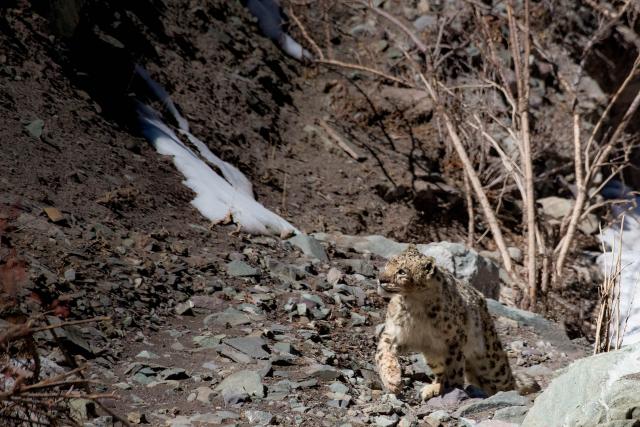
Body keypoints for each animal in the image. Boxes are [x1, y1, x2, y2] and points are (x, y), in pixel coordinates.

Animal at [375, 245, 516, 400]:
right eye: (388, 263)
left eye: (402, 271)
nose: (381, 279)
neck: (414, 305)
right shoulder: (394, 333)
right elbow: (383, 353)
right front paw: (392, 381)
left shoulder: (453, 340)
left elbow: (453, 370)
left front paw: (448, 387)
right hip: (433, 353)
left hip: (490, 361)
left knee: (505, 378)